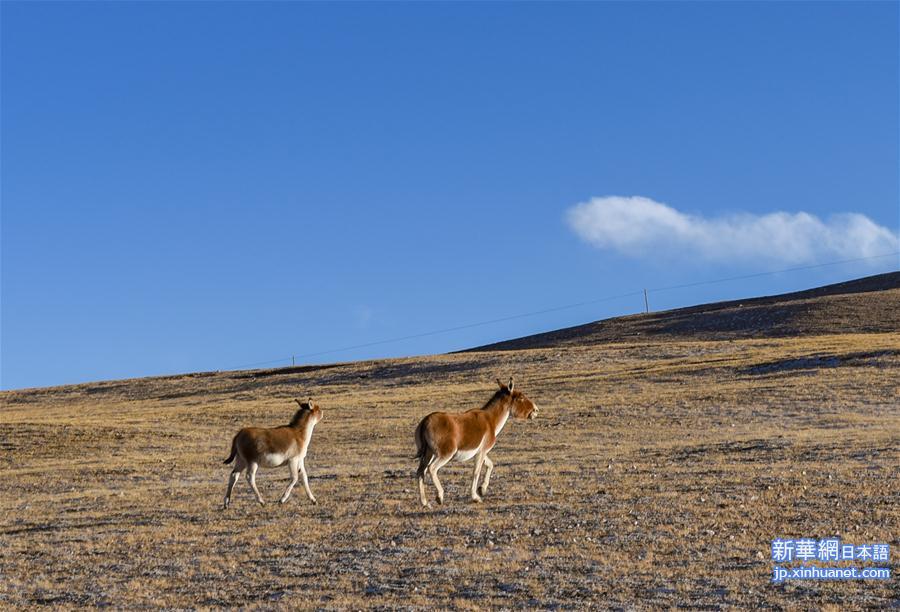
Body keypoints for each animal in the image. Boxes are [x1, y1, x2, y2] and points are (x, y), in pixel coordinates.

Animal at [418, 378, 536, 506]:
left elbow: (490, 464)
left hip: (428, 453)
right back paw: (439, 496)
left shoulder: (481, 451)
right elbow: (476, 472)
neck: (490, 420)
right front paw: (476, 497)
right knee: (432, 468)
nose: (536, 410)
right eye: (521, 397)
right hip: (445, 454)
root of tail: (425, 421)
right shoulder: (482, 451)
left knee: (420, 471)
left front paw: (482, 489)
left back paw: (424, 502)